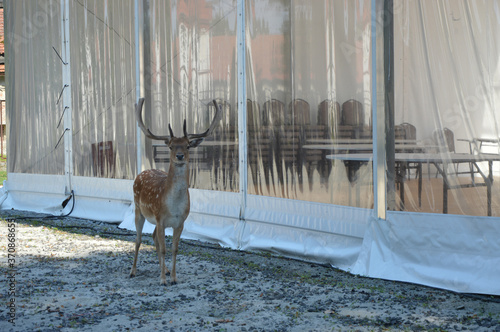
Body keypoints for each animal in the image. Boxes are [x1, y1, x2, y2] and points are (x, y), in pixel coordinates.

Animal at [131, 97, 221, 284]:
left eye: (187, 146)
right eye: (171, 146)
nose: (179, 156)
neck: (173, 207)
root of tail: (142, 171)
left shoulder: (180, 222)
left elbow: (174, 249)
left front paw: (173, 277)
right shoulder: (160, 219)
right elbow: (164, 248)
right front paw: (162, 281)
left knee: (153, 238)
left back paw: (164, 270)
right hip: (138, 209)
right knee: (138, 239)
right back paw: (133, 271)